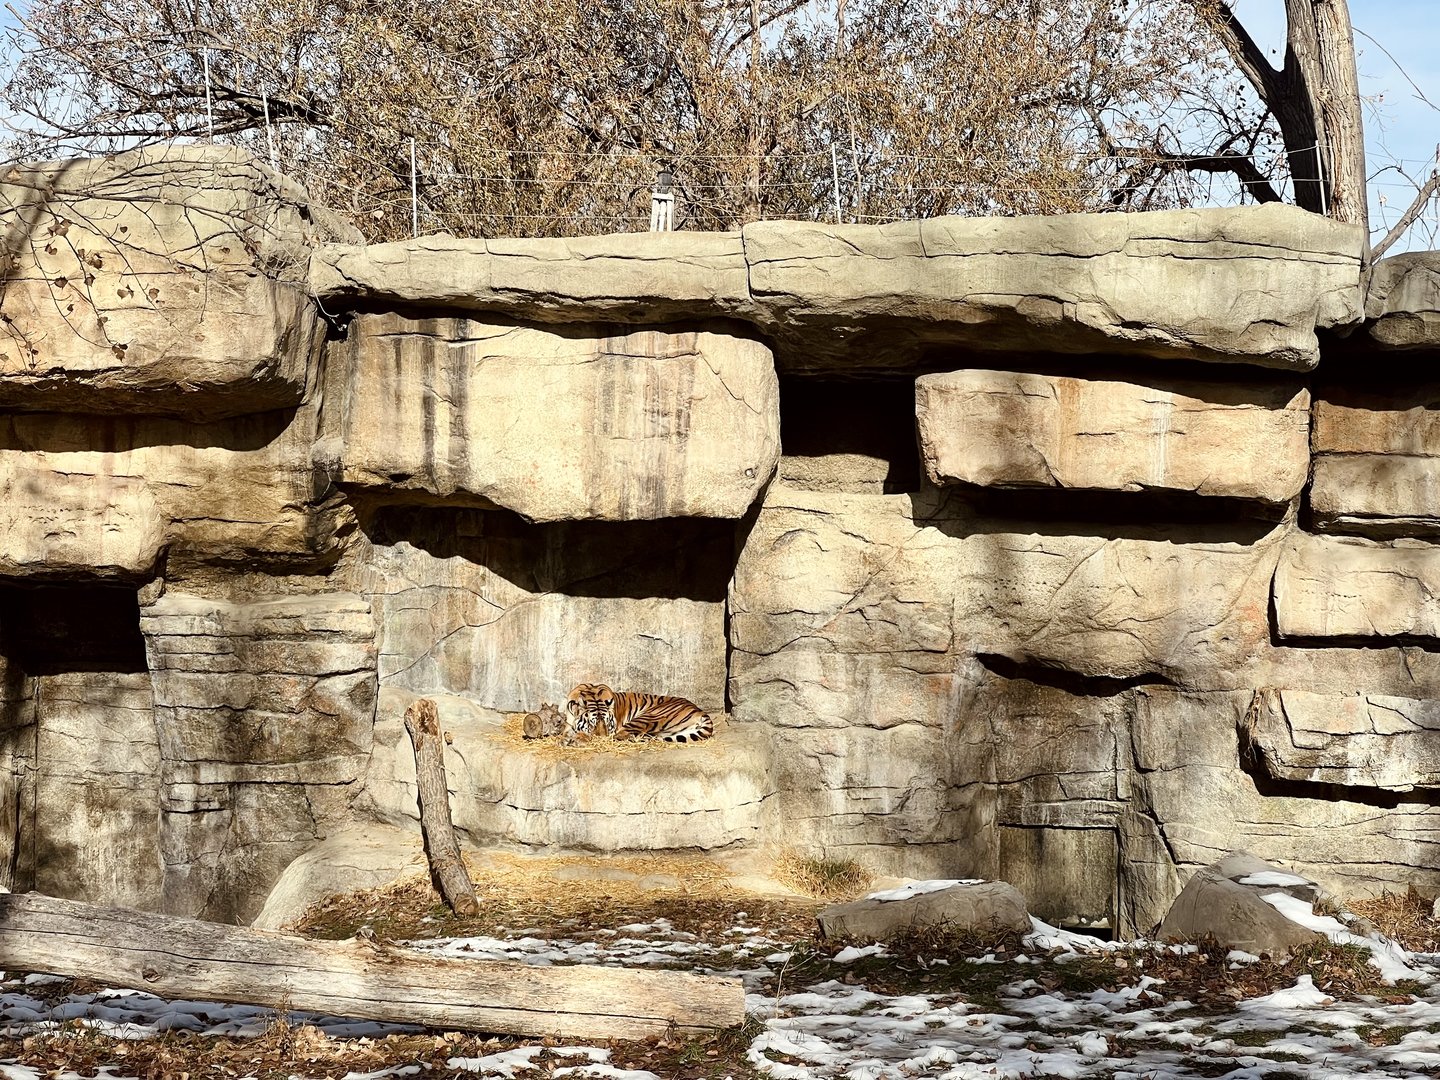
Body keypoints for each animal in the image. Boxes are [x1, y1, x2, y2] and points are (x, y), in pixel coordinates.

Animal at [563, 682, 714, 744]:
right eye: (591, 724)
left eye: (607, 724)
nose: (601, 739)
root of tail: (700, 711)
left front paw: (576, 738)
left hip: (648, 716)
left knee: (622, 737)